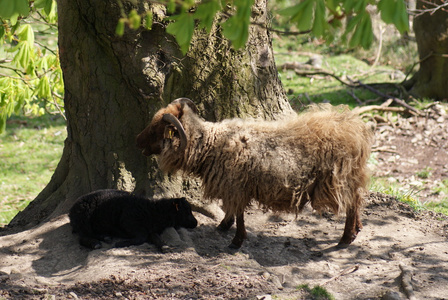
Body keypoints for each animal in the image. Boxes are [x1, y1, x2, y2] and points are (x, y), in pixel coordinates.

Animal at [68, 190, 198, 251]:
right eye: (186, 211)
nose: (196, 223)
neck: (153, 211)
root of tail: (71, 210)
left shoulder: (150, 230)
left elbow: (156, 238)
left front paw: (163, 247)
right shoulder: (128, 222)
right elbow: (141, 238)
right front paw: (121, 243)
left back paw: (105, 237)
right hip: (84, 219)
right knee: (83, 237)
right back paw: (96, 243)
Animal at [136, 98, 374, 248]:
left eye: (157, 128)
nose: (137, 140)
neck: (212, 144)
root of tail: (355, 128)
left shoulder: (236, 185)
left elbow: (239, 214)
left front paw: (236, 241)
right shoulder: (233, 186)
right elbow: (231, 210)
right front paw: (223, 227)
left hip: (337, 178)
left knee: (351, 203)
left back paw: (346, 238)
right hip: (350, 176)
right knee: (358, 199)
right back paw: (358, 228)